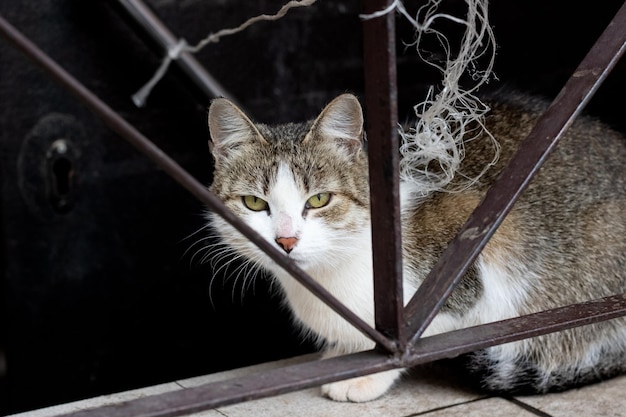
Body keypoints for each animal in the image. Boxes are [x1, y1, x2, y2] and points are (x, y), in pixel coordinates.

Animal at [205, 92, 624, 402]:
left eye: (320, 199)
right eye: (254, 203)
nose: (286, 240)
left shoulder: (473, 242)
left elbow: (426, 334)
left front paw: (367, 375)